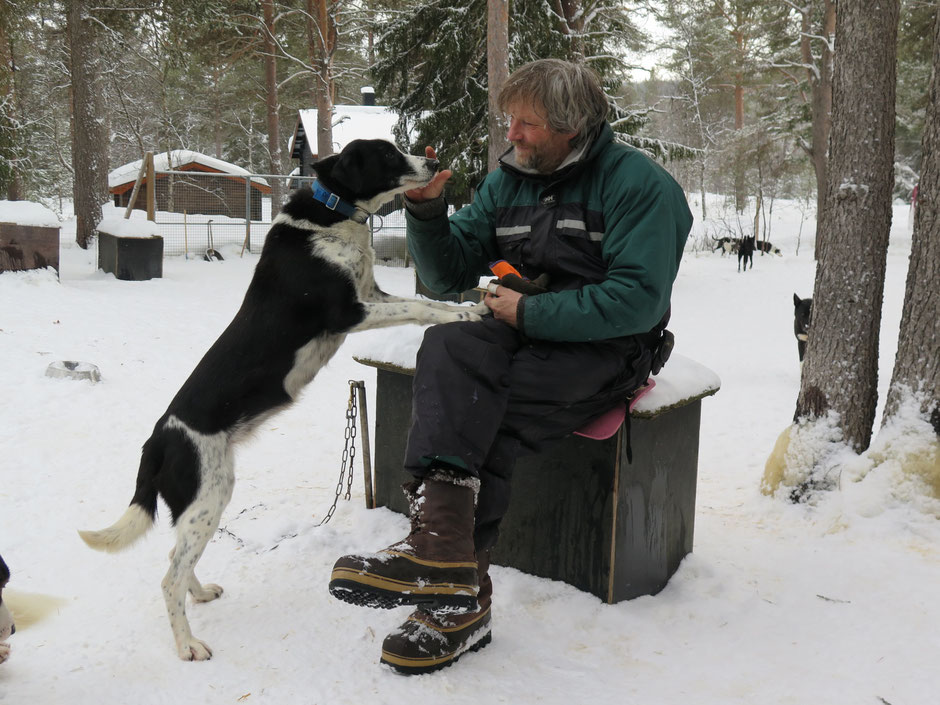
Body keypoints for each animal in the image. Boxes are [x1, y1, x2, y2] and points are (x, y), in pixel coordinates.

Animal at [79, 139, 484, 660]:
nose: (433, 163)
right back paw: (188, 645)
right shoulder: (349, 310)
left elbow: (427, 303)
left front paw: (470, 306)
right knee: (168, 577)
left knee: (176, 558)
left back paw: (201, 593)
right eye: (389, 155)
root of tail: (158, 439)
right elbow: (419, 306)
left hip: (204, 503)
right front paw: (467, 316)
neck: (332, 214)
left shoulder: (372, 294)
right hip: (208, 496)